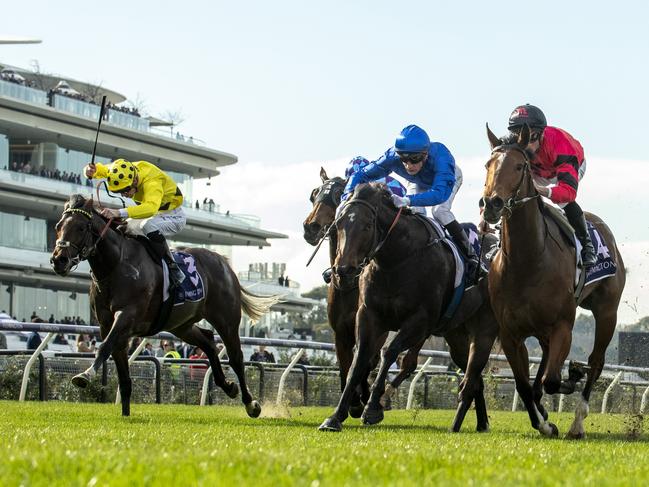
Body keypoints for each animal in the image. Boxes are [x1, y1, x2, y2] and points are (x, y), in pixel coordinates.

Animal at [48, 195, 276, 420]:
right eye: (58, 226)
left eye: (81, 228)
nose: (59, 260)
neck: (116, 266)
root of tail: (223, 262)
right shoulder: (107, 325)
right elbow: (122, 373)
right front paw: (125, 415)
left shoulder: (127, 316)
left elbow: (104, 346)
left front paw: (84, 375)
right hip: (181, 325)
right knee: (209, 342)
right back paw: (228, 386)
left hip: (226, 319)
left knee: (236, 357)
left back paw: (251, 404)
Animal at [304, 168, 426, 416]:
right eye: (314, 194)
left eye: (338, 194)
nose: (310, 227)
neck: (349, 286)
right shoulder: (340, 331)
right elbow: (346, 364)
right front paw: (352, 400)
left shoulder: (377, 328)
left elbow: (367, 361)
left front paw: (363, 399)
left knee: (409, 362)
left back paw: (384, 397)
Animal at [316, 185, 496, 432]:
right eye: (338, 225)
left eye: (367, 225)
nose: (343, 271)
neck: (396, 260)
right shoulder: (368, 315)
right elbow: (359, 359)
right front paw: (336, 416)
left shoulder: (420, 320)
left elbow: (389, 352)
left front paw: (372, 408)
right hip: (456, 336)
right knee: (474, 375)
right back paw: (481, 422)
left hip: (481, 329)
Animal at [480, 125, 624, 438]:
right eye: (488, 164)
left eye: (519, 166)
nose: (491, 204)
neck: (527, 261)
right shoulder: (510, 334)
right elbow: (524, 385)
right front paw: (543, 422)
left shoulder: (562, 326)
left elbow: (553, 380)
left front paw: (572, 377)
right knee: (545, 364)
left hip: (607, 312)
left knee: (595, 362)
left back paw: (578, 422)